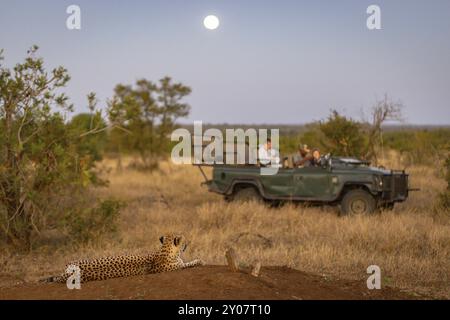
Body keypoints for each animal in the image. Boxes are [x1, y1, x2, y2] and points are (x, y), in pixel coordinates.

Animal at [42, 234, 204, 284]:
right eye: (183, 241)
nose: (187, 244)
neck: (164, 251)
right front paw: (200, 260)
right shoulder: (178, 267)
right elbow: (190, 263)